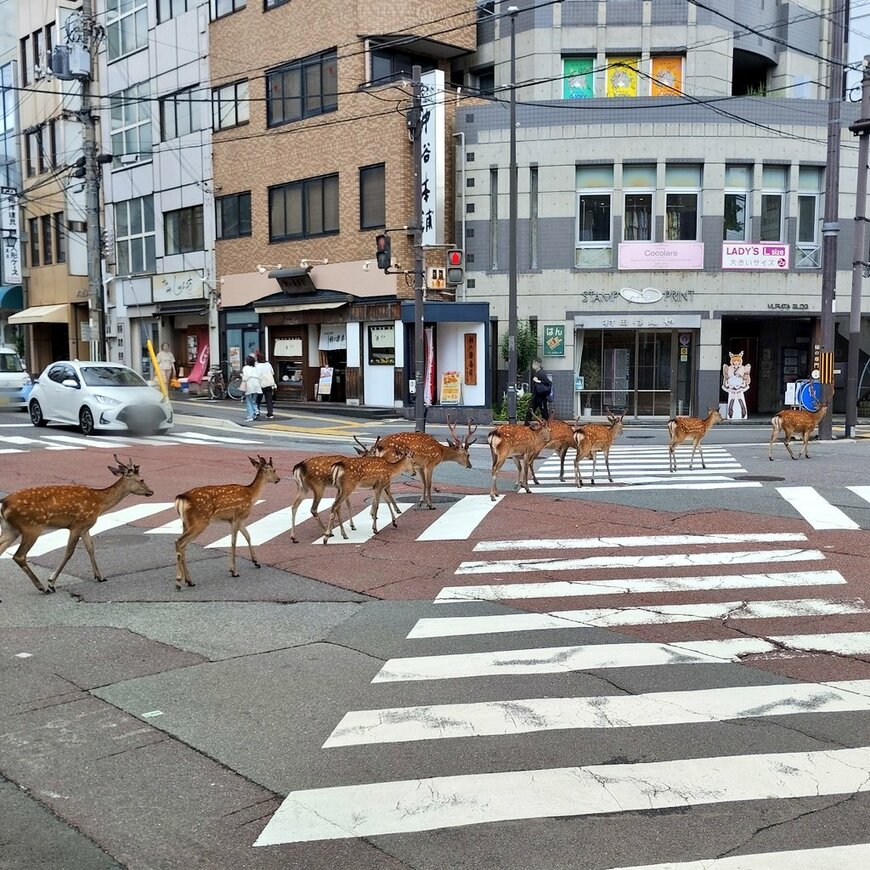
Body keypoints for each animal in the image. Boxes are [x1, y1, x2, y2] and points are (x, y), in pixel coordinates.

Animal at [0, 455, 154, 594]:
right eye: (142, 479)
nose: (151, 491)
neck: (100, 503)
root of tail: (4, 503)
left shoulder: (86, 527)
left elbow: (91, 548)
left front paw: (100, 576)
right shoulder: (77, 525)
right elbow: (69, 552)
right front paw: (51, 582)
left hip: (10, 529)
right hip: (32, 526)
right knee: (19, 556)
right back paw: (42, 587)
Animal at [174, 455, 280, 589]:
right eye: (274, 470)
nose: (278, 479)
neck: (252, 495)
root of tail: (181, 498)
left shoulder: (238, 520)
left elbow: (248, 536)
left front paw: (256, 562)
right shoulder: (237, 517)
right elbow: (234, 542)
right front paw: (234, 571)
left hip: (186, 523)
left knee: (183, 546)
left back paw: (189, 581)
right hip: (199, 521)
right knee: (179, 541)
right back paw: (179, 581)